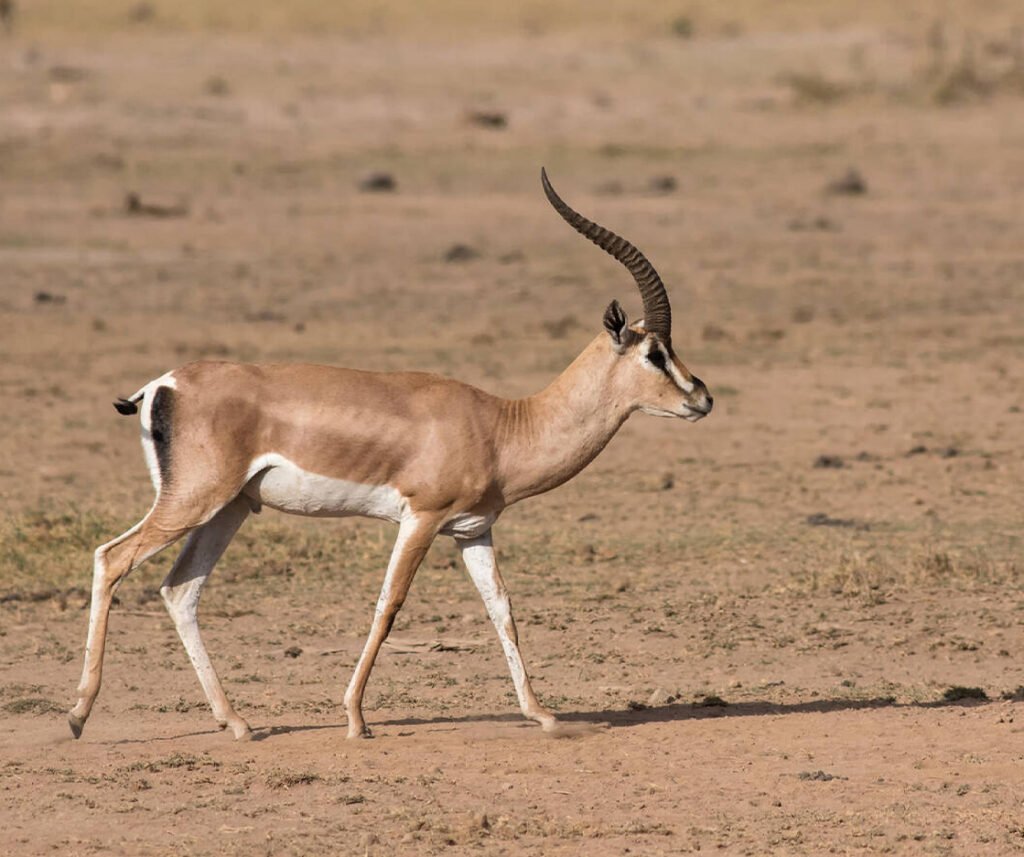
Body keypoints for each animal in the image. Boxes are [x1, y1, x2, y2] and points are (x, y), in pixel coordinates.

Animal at [68, 169, 712, 741]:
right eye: (655, 352)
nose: (703, 397)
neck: (501, 426)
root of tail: (163, 385)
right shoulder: (421, 518)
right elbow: (390, 603)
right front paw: (355, 720)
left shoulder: (472, 530)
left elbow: (502, 608)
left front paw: (545, 716)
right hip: (193, 501)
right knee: (111, 558)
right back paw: (78, 716)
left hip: (228, 509)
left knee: (180, 590)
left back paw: (239, 724)